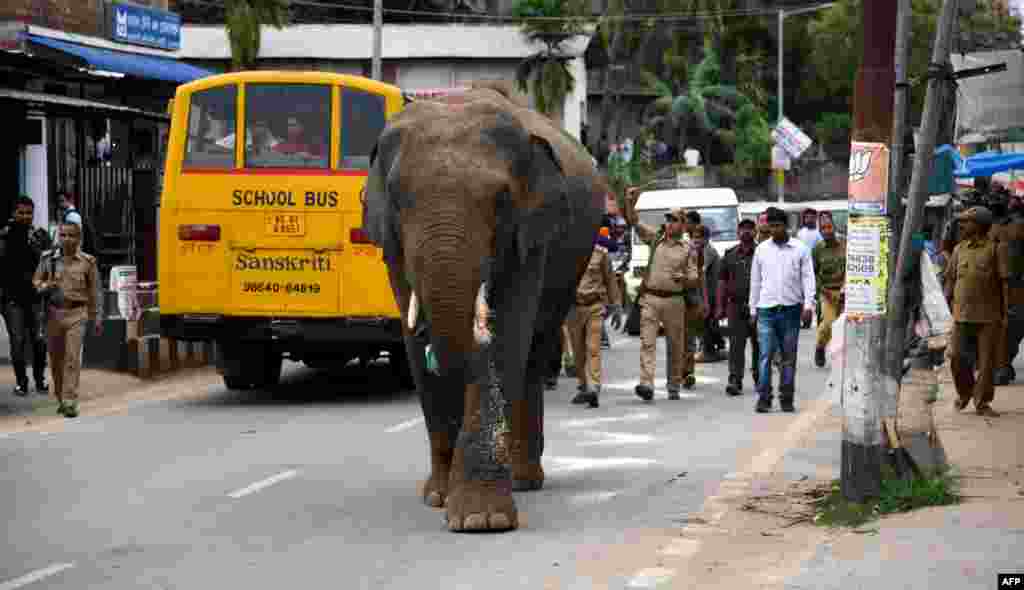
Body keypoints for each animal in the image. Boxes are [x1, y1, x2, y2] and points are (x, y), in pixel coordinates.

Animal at [364, 80, 606, 532]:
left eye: (501, 200)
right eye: (398, 199)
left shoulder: (530, 235)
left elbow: (506, 336)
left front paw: (481, 519)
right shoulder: (392, 246)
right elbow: (412, 341)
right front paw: (439, 498)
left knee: (533, 352)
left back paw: (525, 479)